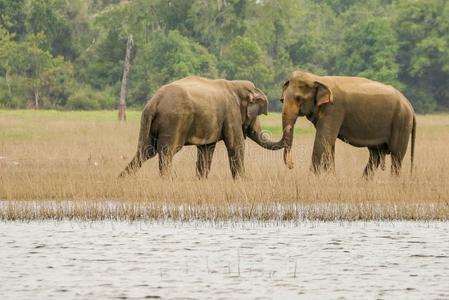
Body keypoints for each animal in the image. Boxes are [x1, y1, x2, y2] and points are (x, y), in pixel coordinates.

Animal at [119, 76, 284, 178]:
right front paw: (242, 180)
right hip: (173, 122)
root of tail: (154, 102)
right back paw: (167, 180)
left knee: (145, 151)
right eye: (256, 115)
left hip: (147, 122)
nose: (282, 99)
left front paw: (201, 179)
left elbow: (206, 150)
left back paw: (121, 178)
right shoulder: (231, 113)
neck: (234, 84)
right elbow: (236, 146)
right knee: (167, 151)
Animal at [280, 69, 416, 178]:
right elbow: (328, 144)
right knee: (375, 156)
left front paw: (312, 180)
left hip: (401, 122)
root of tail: (410, 106)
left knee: (396, 156)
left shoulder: (333, 109)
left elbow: (323, 141)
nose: (292, 165)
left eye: (298, 98)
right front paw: (331, 178)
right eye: (282, 99)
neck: (317, 78)